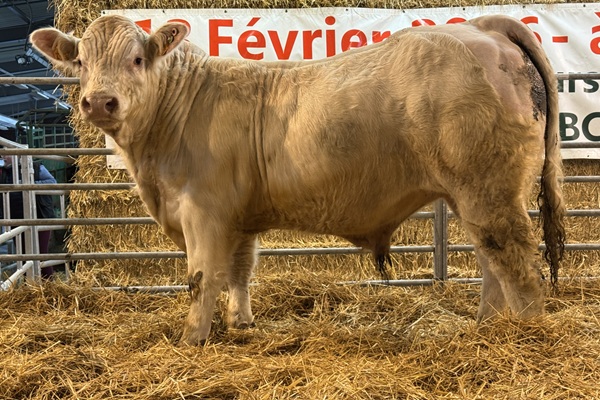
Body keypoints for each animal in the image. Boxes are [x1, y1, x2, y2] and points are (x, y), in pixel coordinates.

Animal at [31, 14, 565, 345]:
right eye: (81, 62)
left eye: (137, 59)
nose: (99, 102)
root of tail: (480, 26)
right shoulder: (238, 218)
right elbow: (239, 271)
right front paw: (241, 324)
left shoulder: (203, 212)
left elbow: (202, 278)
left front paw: (192, 338)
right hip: (474, 193)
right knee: (491, 259)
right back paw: (487, 326)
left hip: (488, 189)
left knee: (516, 262)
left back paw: (527, 333)